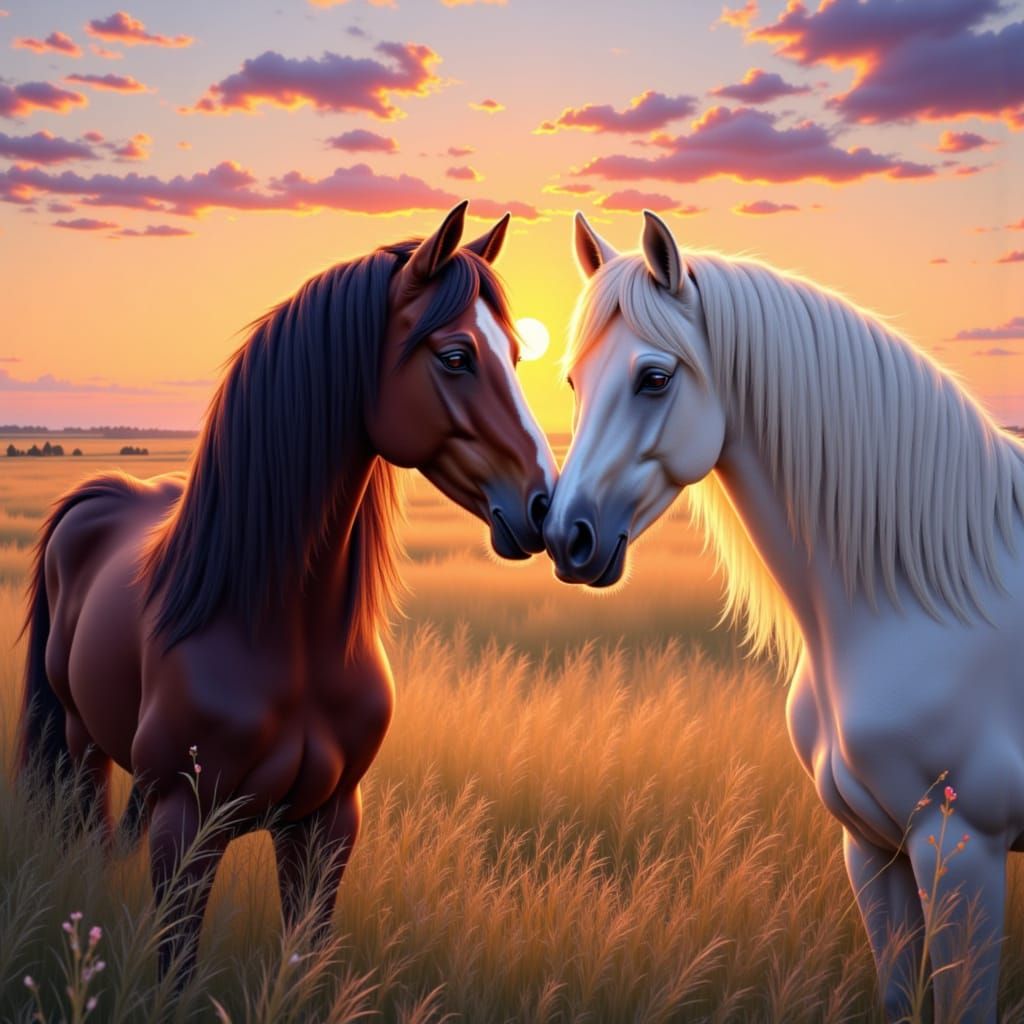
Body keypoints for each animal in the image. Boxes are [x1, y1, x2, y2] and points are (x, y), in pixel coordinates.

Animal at [18, 200, 557, 978]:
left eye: (515, 356)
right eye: (455, 356)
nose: (546, 505)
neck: (274, 627)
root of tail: (101, 496)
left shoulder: (328, 822)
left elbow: (306, 963)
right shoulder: (187, 824)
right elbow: (175, 966)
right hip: (82, 742)